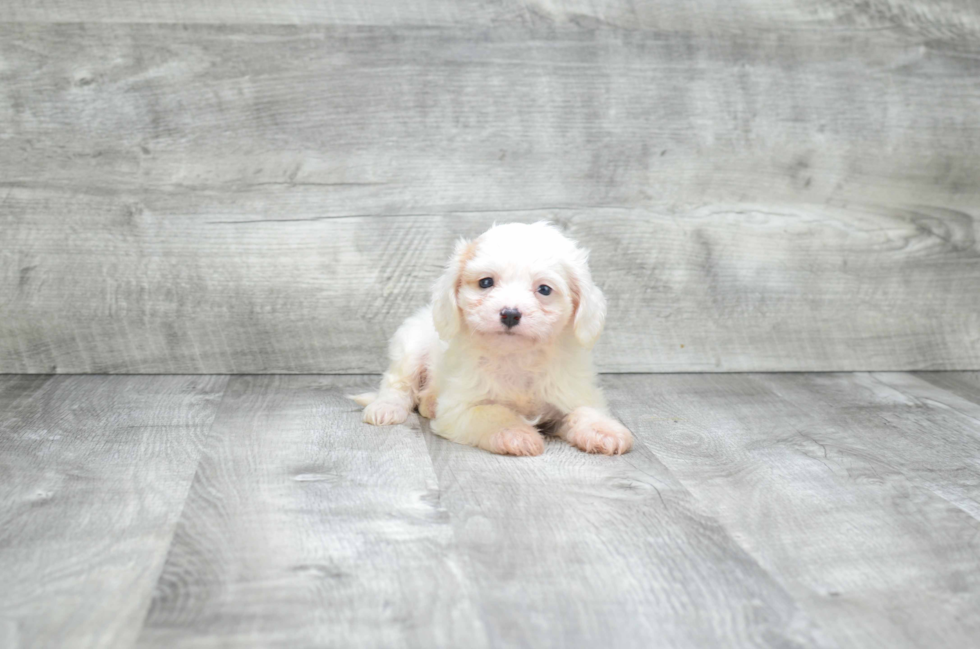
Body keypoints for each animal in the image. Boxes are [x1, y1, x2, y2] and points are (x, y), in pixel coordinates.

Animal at [352, 223, 636, 456]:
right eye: (486, 282)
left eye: (544, 289)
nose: (510, 313)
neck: (516, 357)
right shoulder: (460, 407)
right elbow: (492, 414)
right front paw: (516, 433)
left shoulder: (572, 391)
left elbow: (585, 410)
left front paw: (604, 430)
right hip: (409, 349)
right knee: (397, 385)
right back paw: (385, 408)